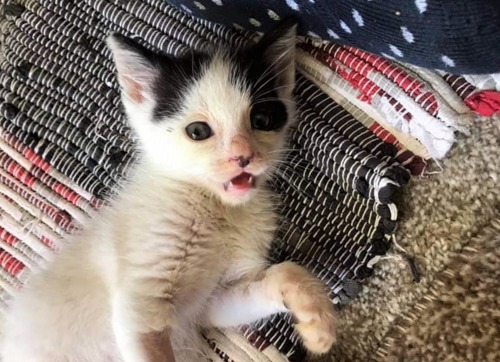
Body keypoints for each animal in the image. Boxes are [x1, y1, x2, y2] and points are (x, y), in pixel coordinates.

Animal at [0, 19, 336, 362]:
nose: (243, 156)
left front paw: (316, 319)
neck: (215, 207)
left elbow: (279, 274)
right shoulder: (139, 301)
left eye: (262, 119)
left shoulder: (211, 303)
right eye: (198, 131)